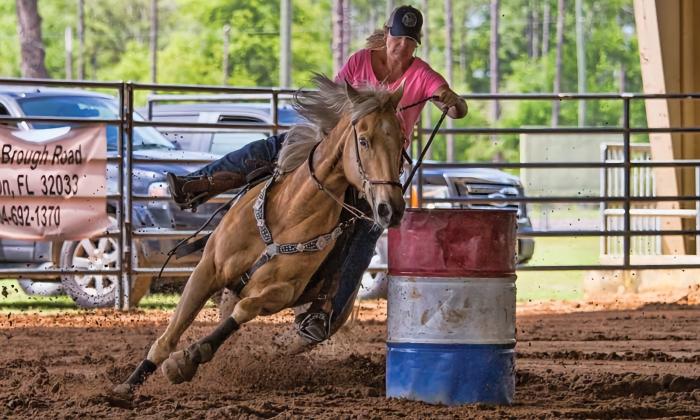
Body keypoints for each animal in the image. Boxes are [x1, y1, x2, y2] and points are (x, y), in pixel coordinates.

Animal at [116, 75, 404, 394]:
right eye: (364, 141)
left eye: (402, 143)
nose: (391, 208)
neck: (289, 212)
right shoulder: (208, 269)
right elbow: (169, 335)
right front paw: (127, 386)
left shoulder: (282, 291)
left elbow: (244, 309)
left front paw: (187, 360)